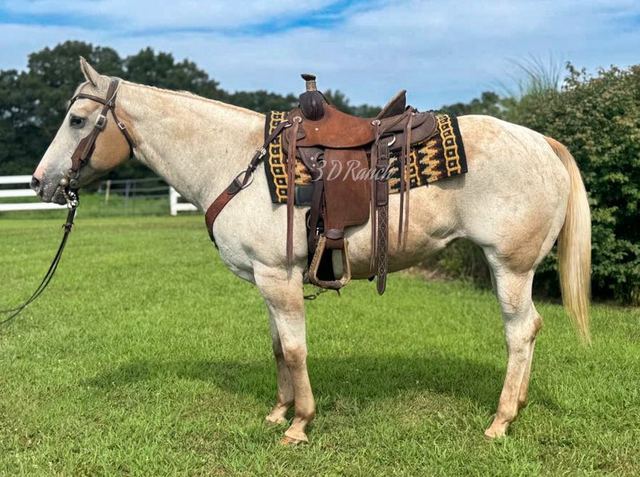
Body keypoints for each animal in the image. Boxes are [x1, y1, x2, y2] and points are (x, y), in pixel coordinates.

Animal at [31, 58, 591, 444]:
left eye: (77, 120)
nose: (39, 182)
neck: (237, 162)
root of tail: (541, 141)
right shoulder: (266, 279)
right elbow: (279, 347)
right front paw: (278, 412)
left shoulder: (279, 277)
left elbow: (297, 349)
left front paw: (299, 425)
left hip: (510, 266)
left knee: (521, 331)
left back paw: (500, 420)